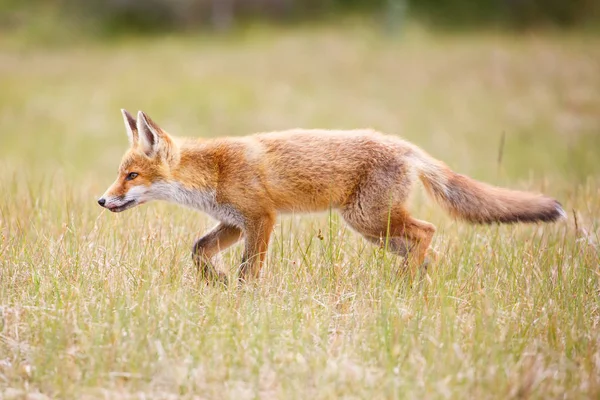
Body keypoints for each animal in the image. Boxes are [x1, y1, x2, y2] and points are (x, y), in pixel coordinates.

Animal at [98, 110, 568, 282]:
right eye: (119, 175)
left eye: (131, 175)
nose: (102, 202)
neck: (212, 172)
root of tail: (405, 146)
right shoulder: (233, 222)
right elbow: (198, 251)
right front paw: (217, 281)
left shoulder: (261, 218)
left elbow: (251, 269)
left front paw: (240, 295)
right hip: (377, 232)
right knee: (429, 249)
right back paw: (417, 285)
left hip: (370, 221)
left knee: (428, 231)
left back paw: (402, 284)